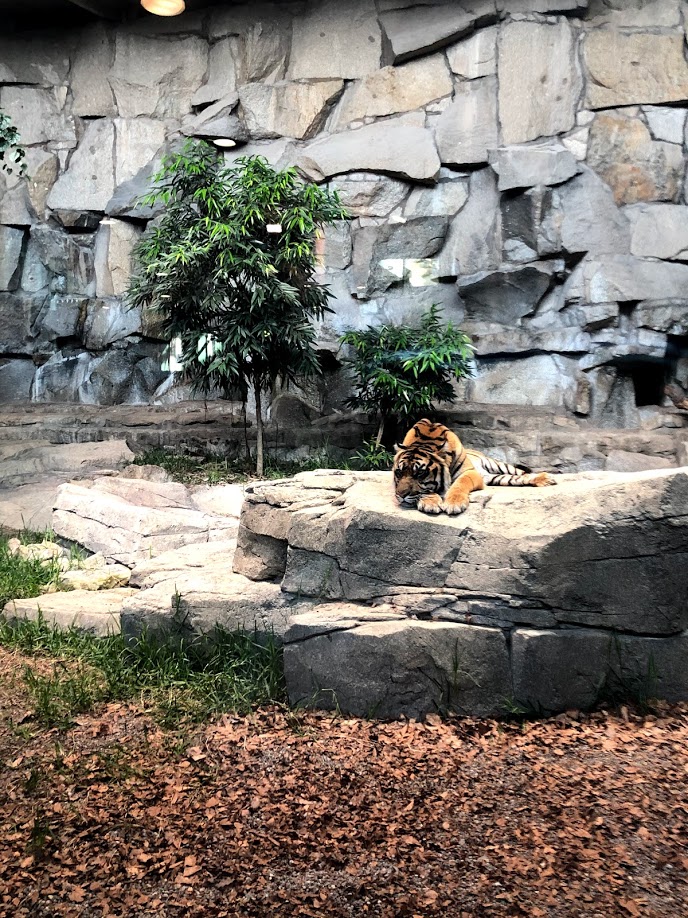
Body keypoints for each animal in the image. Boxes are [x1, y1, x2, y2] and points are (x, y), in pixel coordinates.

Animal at [393, 418, 557, 516]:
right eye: (399, 473)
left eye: (420, 474)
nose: (400, 496)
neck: (426, 440)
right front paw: (430, 502)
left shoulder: (470, 472)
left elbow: (460, 484)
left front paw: (454, 503)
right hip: (495, 478)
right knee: (517, 478)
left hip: (498, 465)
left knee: (522, 473)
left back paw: (545, 478)